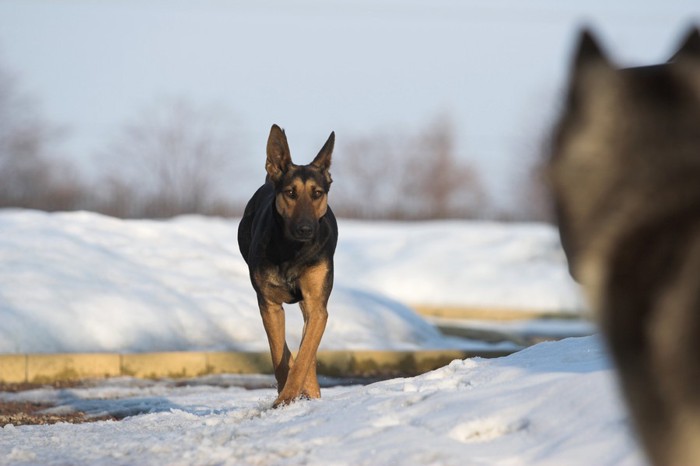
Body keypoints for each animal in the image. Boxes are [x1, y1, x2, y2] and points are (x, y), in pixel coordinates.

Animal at [237, 124, 338, 408]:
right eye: (290, 193)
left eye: (317, 194)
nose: (305, 229)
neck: (293, 251)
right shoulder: (269, 305)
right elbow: (279, 355)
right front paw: (284, 396)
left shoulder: (316, 304)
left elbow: (304, 356)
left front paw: (291, 395)